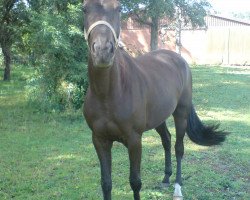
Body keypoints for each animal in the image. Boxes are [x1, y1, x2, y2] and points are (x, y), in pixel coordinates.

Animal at [82, 0, 229, 199]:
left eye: (118, 8)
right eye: (84, 9)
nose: (103, 51)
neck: (109, 94)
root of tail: (179, 59)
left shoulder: (134, 140)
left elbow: (135, 182)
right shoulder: (100, 140)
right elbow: (106, 183)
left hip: (180, 114)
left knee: (178, 148)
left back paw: (177, 187)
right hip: (159, 118)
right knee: (166, 140)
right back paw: (166, 178)